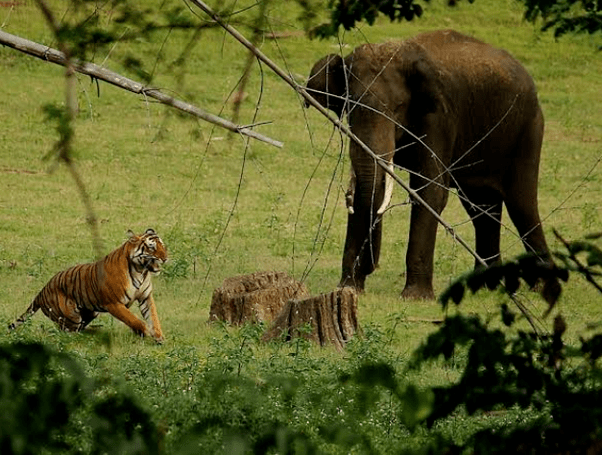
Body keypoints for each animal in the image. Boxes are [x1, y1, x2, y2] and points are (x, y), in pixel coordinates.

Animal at [9, 230, 168, 344]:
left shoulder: (146, 297)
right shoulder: (114, 303)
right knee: (64, 333)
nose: (165, 258)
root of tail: (42, 291)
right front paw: (145, 331)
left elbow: (153, 317)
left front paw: (159, 336)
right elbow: (133, 319)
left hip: (90, 312)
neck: (140, 271)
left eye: (163, 246)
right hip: (71, 317)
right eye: (152, 247)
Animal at [308, 28, 556, 300]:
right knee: (481, 207)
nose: (371, 266)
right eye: (350, 105)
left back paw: (541, 286)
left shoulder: (440, 118)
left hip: (527, 129)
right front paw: (348, 288)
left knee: (521, 204)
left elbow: (430, 192)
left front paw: (415, 297)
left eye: (397, 108)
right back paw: (486, 285)